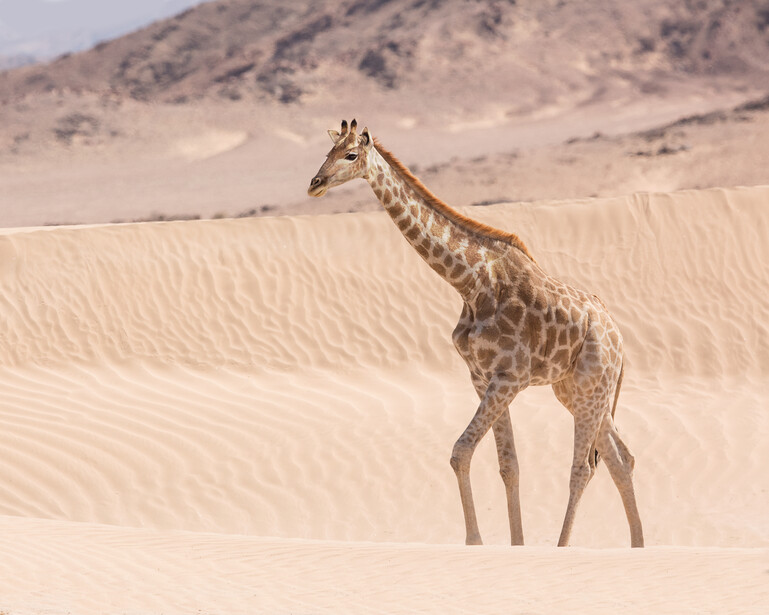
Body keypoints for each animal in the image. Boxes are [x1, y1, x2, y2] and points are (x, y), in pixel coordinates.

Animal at [308, 119, 644, 548]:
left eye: (351, 155)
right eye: (328, 152)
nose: (315, 183)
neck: (470, 283)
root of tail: (619, 338)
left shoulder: (509, 378)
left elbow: (461, 451)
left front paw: (475, 542)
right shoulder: (482, 378)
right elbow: (508, 465)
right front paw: (515, 545)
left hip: (590, 388)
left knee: (583, 467)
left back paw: (564, 547)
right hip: (577, 391)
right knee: (620, 459)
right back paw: (638, 546)